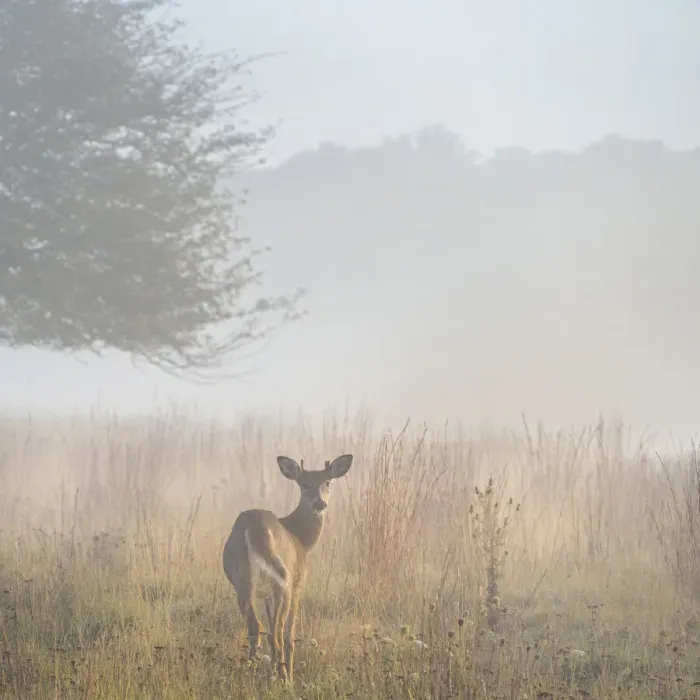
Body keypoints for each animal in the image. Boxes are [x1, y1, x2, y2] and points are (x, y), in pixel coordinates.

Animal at [222, 453, 353, 682]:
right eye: (304, 484)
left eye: (328, 482)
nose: (320, 503)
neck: (301, 538)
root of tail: (253, 529)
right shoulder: (298, 581)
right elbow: (289, 635)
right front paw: (287, 674)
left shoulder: (266, 595)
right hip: (283, 580)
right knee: (276, 634)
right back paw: (284, 678)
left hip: (241, 580)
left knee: (257, 628)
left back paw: (253, 673)